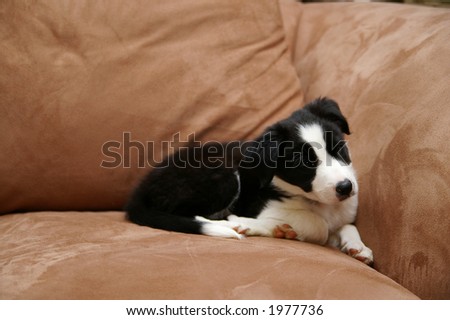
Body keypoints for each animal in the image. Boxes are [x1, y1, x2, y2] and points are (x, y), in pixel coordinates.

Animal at [125, 97, 372, 264]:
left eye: (338, 147)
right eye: (304, 163)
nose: (345, 188)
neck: (321, 203)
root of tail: (141, 188)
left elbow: (346, 225)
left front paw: (358, 247)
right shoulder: (261, 206)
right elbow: (318, 225)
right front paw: (260, 225)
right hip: (224, 177)